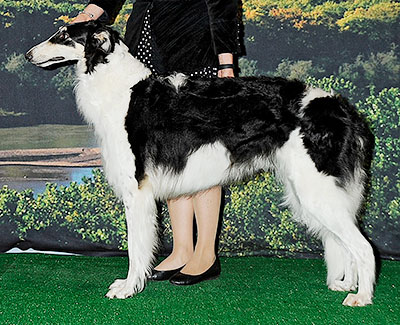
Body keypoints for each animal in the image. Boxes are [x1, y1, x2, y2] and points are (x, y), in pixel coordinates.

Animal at [26, 21, 376, 306]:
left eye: (63, 36)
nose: (29, 55)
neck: (121, 91)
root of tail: (340, 106)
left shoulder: (136, 191)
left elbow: (136, 248)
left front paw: (128, 287)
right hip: (311, 190)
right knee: (345, 243)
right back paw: (346, 284)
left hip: (317, 190)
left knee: (364, 247)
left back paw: (362, 297)